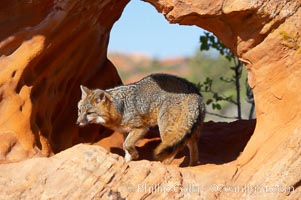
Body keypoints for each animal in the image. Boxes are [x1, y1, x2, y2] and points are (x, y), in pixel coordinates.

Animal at [76, 73, 205, 166]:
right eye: (79, 110)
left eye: (89, 113)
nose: (77, 123)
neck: (120, 107)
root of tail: (195, 93)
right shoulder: (126, 131)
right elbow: (125, 147)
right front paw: (127, 162)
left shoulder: (141, 128)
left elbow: (126, 144)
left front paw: (135, 155)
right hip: (189, 132)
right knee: (192, 149)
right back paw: (191, 166)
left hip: (165, 130)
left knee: (173, 150)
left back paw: (163, 165)